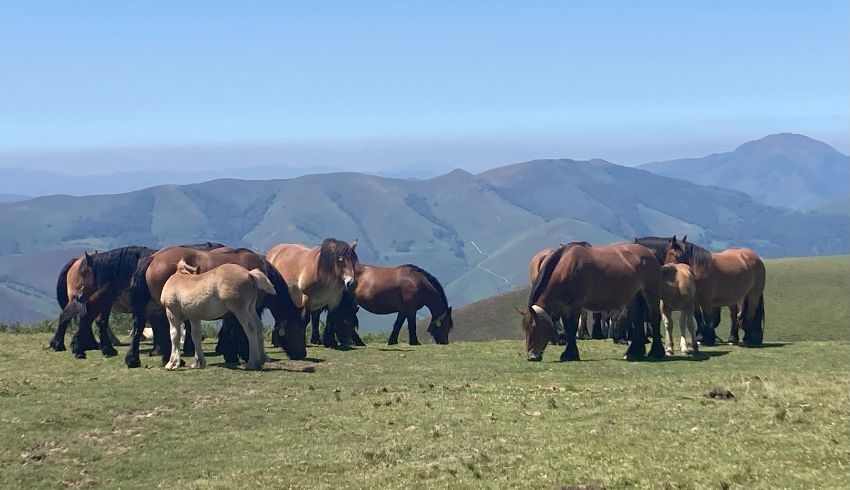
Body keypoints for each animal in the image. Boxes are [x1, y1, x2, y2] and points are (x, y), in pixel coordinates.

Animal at [516, 242, 664, 362]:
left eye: (534, 327)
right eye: (525, 328)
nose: (532, 356)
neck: (564, 268)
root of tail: (650, 252)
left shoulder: (575, 305)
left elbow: (571, 326)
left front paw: (569, 354)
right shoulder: (564, 307)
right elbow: (567, 325)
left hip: (651, 292)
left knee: (654, 317)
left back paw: (656, 352)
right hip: (633, 297)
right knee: (637, 319)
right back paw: (633, 352)